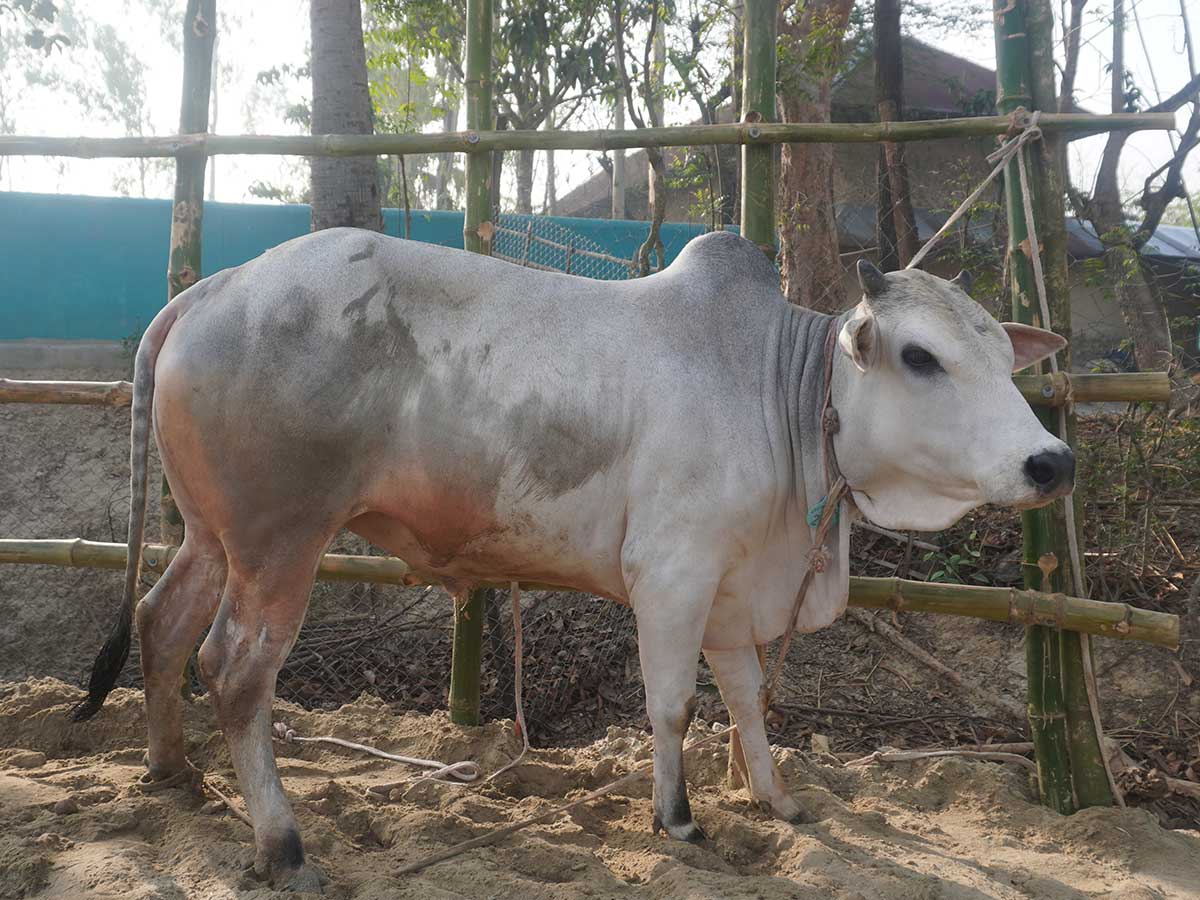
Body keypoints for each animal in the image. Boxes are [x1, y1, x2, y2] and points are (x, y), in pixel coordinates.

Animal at [72, 229, 1072, 892]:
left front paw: (778, 801)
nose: (1052, 462)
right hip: (281, 545)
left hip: (212, 538)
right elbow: (673, 706)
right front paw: (678, 820)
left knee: (163, 624)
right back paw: (282, 846)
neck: (780, 395)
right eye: (920, 356)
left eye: (1003, 357)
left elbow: (748, 701)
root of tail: (213, 289)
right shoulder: (671, 575)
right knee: (233, 669)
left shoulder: (730, 588)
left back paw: (173, 773)